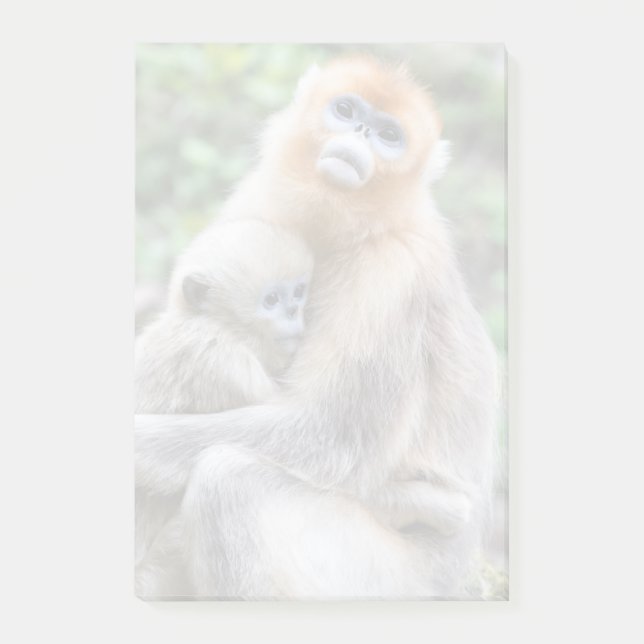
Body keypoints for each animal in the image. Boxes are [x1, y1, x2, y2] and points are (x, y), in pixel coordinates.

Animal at [135, 56, 498, 599]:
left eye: (389, 135)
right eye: (346, 110)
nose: (362, 132)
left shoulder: (394, 271)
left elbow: (333, 438)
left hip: (388, 580)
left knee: (229, 480)